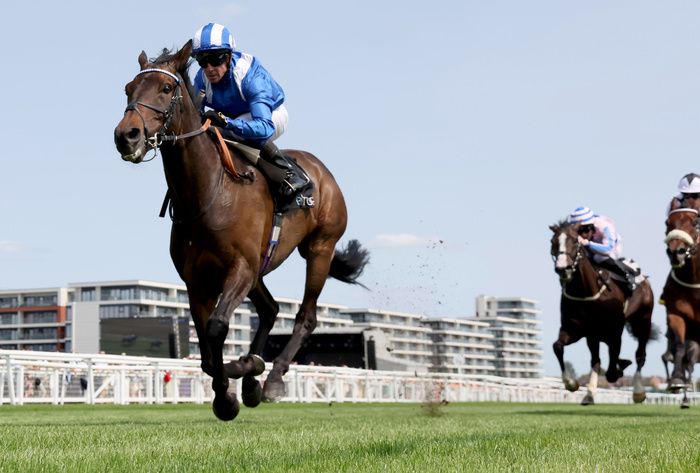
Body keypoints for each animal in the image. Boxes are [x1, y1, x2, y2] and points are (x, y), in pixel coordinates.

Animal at [112, 41, 370, 420]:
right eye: (128, 88)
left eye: (167, 87)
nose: (126, 135)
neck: (208, 192)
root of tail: (322, 171)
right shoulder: (197, 281)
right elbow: (206, 350)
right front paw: (233, 387)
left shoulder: (240, 268)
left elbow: (218, 328)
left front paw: (236, 383)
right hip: (261, 265)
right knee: (271, 309)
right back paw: (252, 380)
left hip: (319, 248)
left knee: (305, 317)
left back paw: (272, 379)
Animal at [548, 220, 652, 402]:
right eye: (553, 242)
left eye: (574, 241)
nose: (562, 268)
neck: (587, 292)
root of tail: (644, 279)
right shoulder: (576, 329)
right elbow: (558, 346)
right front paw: (571, 383)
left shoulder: (614, 332)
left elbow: (611, 371)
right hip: (594, 336)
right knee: (596, 360)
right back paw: (590, 394)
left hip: (643, 322)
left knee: (640, 355)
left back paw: (638, 392)